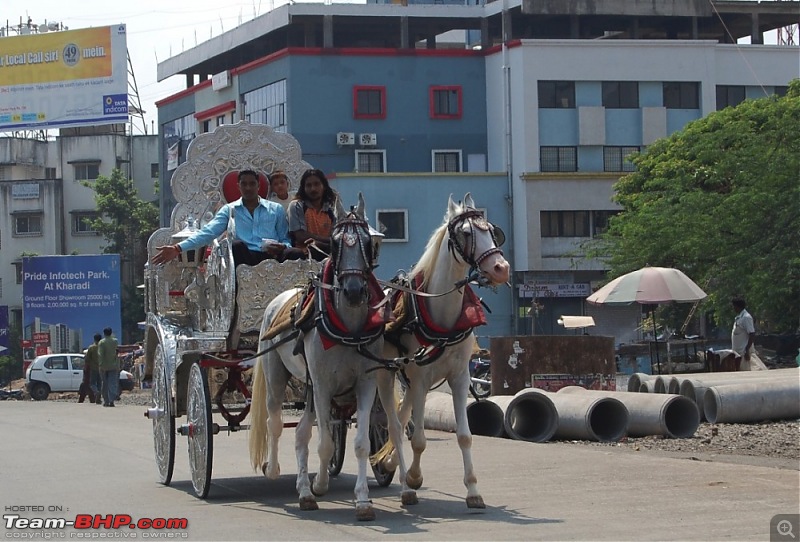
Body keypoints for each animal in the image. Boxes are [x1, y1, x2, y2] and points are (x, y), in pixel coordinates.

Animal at [250, 196, 412, 524]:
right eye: (336, 243)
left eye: (368, 242)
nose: (353, 291)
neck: (347, 327)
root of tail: (278, 298)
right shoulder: (323, 384)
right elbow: (324, 443)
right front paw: (320, 486)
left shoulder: (365, 383)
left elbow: (360, 443)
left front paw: (362, 501)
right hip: (277, 375)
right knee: (275, 421)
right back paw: (275, 471)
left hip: (312, 389)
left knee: (302, 432)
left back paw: (303, 487)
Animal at [376, 194, 512, 510]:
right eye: (465, 234)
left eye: (492, 231)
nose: (501, 268)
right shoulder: (421, 378)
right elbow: (419, 440)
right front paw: (413, 477)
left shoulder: (460, 377)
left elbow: (464, 436)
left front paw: (473, 490)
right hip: (387, 376)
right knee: (394, 424)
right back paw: (400, 480)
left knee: (402, 418)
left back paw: (389, 464)